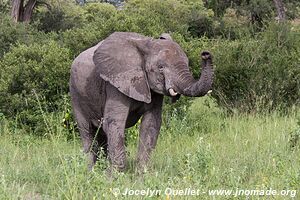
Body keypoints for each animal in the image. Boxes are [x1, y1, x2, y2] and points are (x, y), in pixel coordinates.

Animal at [68, 32, 213, 171]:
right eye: (161, 67)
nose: (205, 54)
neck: (146, 44)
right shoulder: (116, 81)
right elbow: (113, 123)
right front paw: (114, 177)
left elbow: (151, 124)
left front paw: (141, 175)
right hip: (76, 94)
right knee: (87, 131)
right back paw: (91, 172)